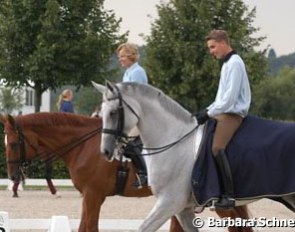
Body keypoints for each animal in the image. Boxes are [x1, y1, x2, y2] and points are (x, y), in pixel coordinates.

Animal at [0, 113, 252, 232]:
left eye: (12, 143)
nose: (12, 176)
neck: (84, 145)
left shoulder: (93, 195)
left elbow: (89, 228)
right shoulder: (90, 197)